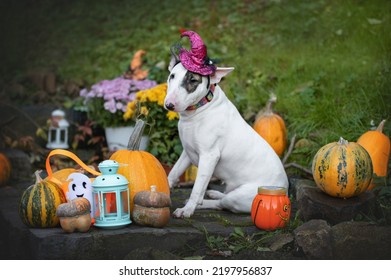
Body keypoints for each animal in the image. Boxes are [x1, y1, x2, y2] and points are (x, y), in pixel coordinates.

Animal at [164, 31, 290, 219]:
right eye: (172, 76)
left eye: (193, 80)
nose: (169, 105)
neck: (198, 111)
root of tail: (286, 190)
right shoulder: (187, 152)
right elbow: (173, 173)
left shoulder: (209, 156)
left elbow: (197, 188)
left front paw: (187, 210)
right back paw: (214, 193)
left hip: (242, 196)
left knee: (222, 204)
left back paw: (204, 202)